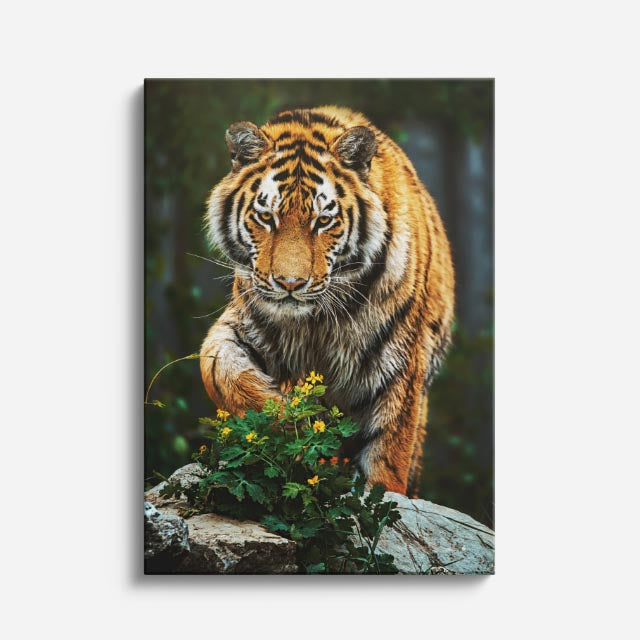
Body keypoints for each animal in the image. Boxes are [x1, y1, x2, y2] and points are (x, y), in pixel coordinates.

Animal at [200, 106, 454, 496]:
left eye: (323, 220)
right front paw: (288, 421)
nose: (290, 283)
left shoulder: (402, 360)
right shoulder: (241, 324)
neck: (314, 322)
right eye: (266, 217)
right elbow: (219, 371)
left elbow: (387, 455)